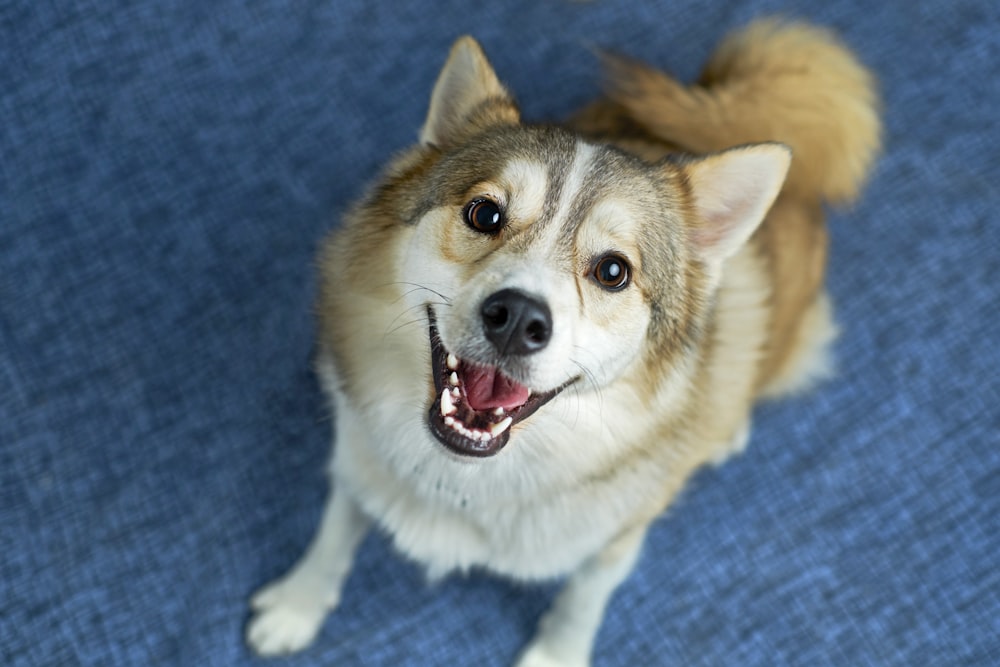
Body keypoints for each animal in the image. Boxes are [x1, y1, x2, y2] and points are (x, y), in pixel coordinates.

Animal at [246, 20, 880, 667]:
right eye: (484, 213)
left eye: (613, 271)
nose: (517, 318)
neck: (466, 476)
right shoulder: (357, 452)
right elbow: (334, 533)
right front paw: (299, 603)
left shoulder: (613, 542)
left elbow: (581, 602)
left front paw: (557, 653)